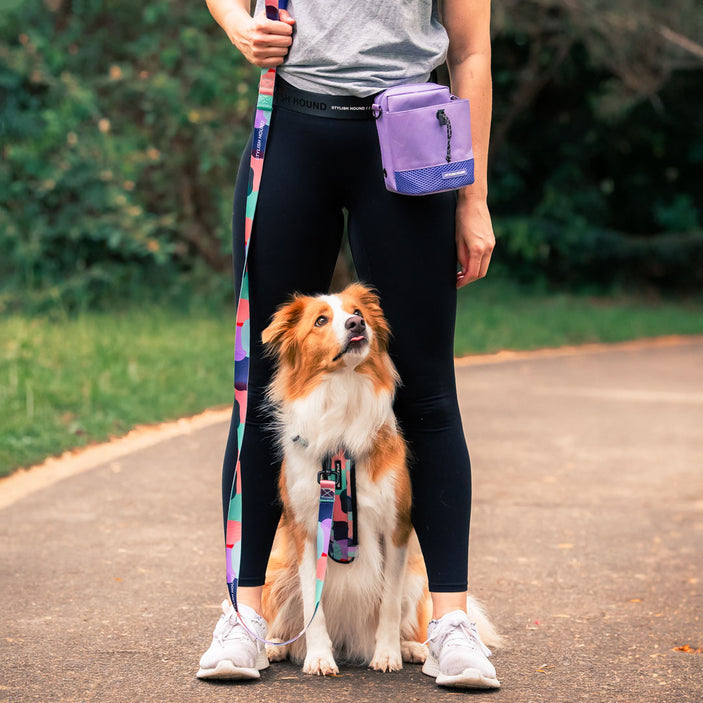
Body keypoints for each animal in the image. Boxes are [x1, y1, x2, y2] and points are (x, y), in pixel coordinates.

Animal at [260, 282, 500, 676]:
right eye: (320, 321)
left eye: (357, 311)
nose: (356, 324)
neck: (342, 395)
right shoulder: (304, 530)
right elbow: (314, 604)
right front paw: (319, 657)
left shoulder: (395, 526)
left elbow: (388, 601)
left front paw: (387, 654)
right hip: (278, 572)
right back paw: (275, 647)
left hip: (418, 580)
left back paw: (412, 648)